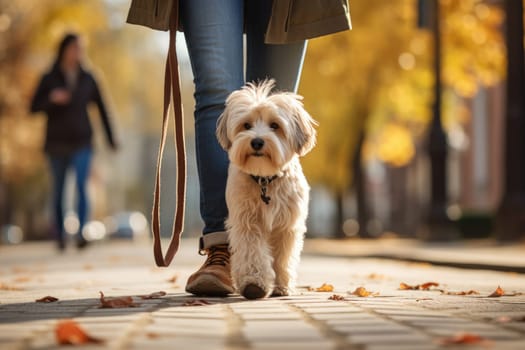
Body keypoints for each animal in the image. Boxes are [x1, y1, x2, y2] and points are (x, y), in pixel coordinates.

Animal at [216, 80, 318, 300]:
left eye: (275, 126)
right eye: (246, 125)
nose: (256, 141)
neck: (265, 179)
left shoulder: (287, 226)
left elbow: (283, 258)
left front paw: (283, 286)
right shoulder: (247, 223)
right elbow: (252, 252)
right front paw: (254, 283)